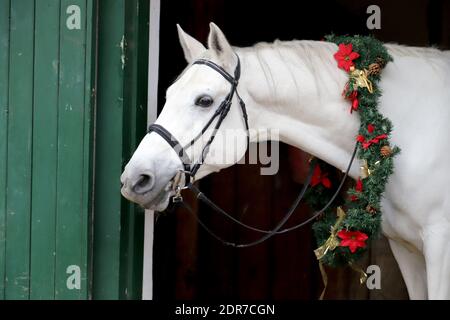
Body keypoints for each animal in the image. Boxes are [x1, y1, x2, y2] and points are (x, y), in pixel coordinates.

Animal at [121, 23, 450, 300]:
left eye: (204, 100)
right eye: (168, 95)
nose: (134, 179)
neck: (408, 128)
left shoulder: (439, 248)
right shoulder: (407, 250)